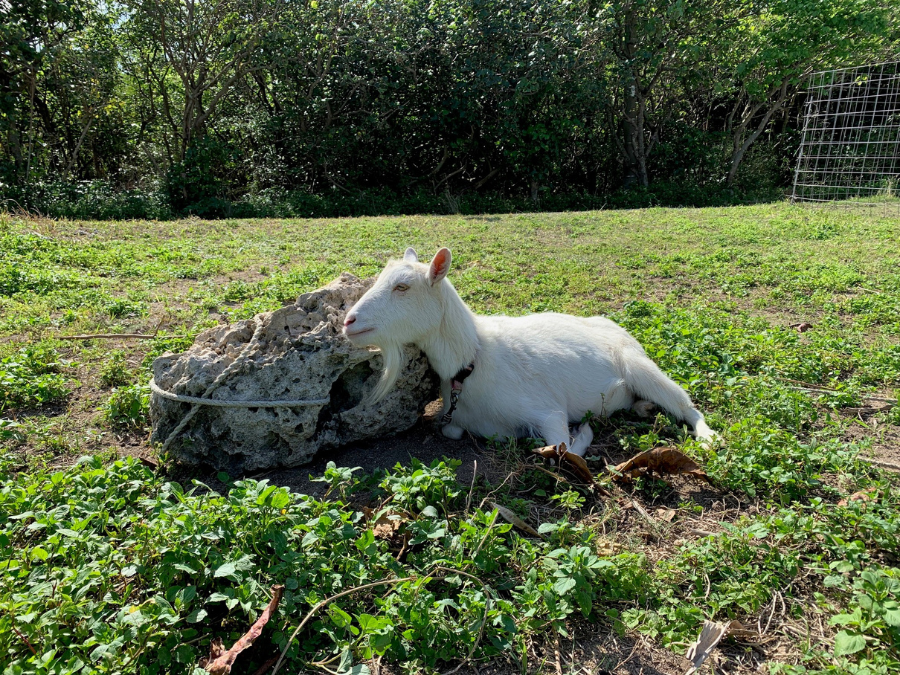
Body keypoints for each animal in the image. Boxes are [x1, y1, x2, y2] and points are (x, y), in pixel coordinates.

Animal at [344, 250, 716, 460]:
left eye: (402, 286)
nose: (348, 321)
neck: (475, 360)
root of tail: (615, 327)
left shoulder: (547, 411)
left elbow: (563, 451)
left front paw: (582, 431)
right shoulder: (457, 422)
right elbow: (452, 431)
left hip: (639, 365)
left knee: (685, 404)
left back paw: (708, 438)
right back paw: (643, 407)